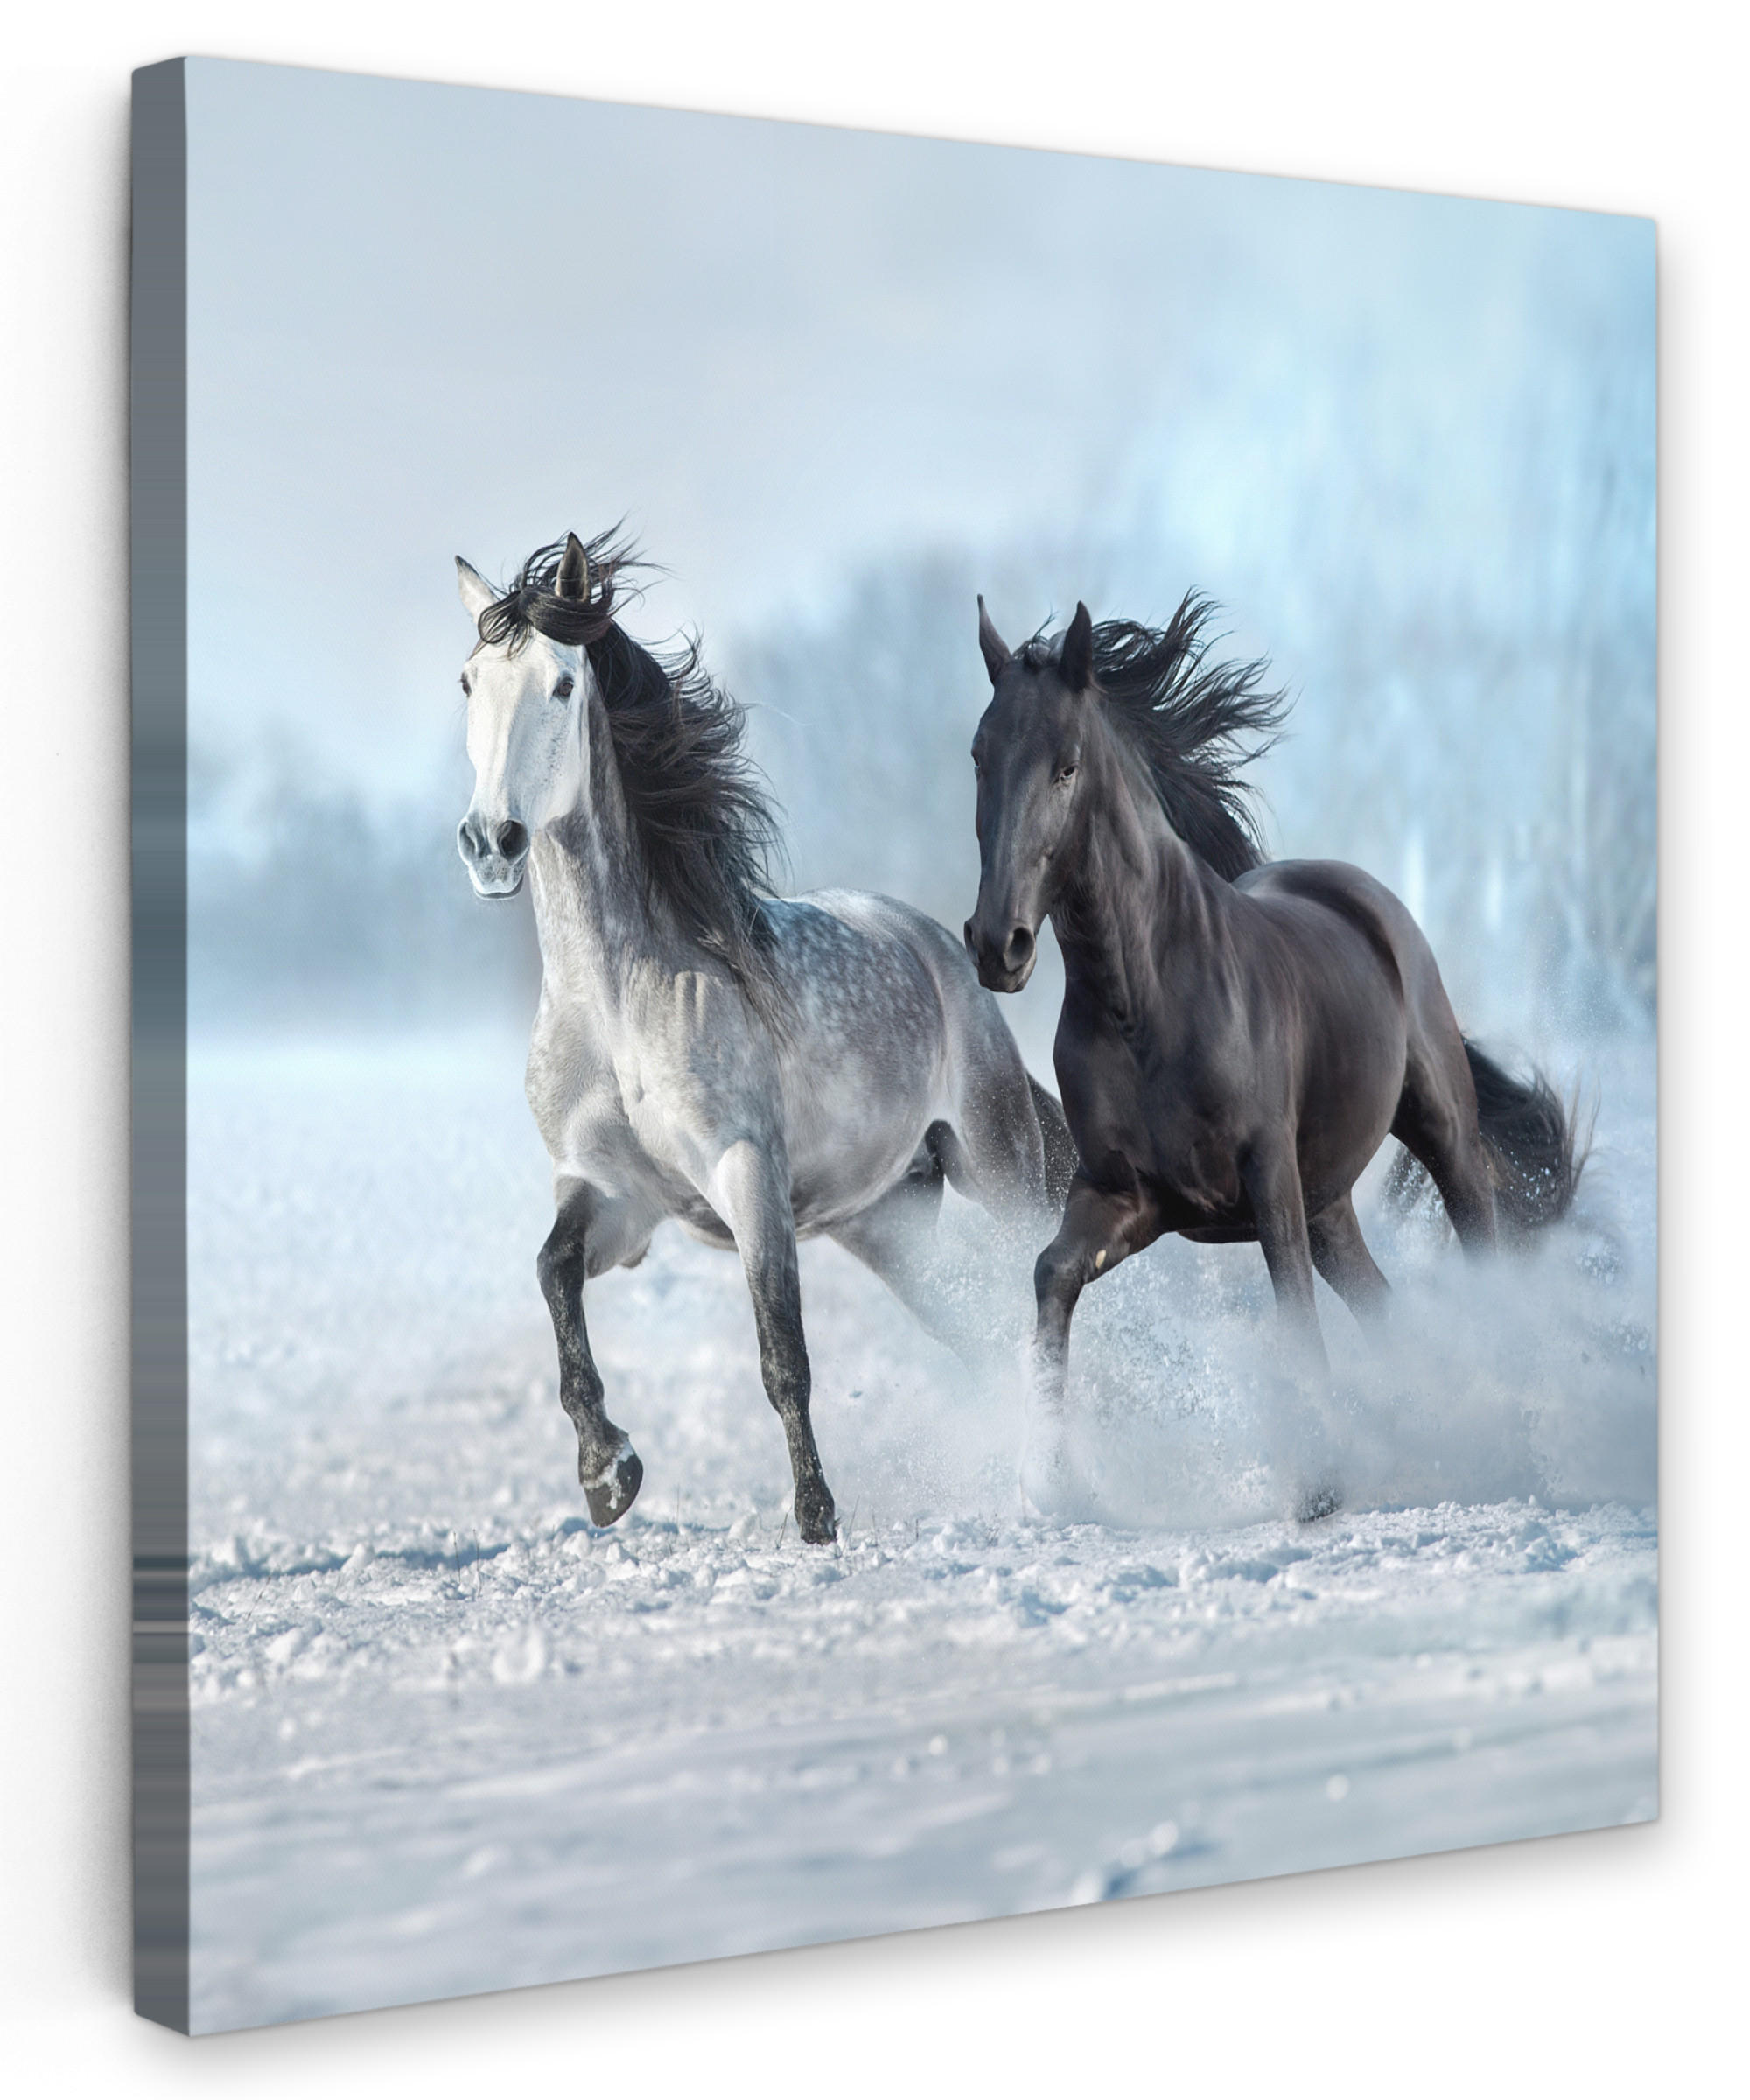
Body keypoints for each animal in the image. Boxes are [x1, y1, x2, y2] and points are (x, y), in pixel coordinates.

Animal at [453, 532, 1075, 1544]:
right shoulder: (613, 1194)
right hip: (886, 1222)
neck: (617, 1005)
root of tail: (939, 945)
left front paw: (816, 1518)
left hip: (998, 1165)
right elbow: (552, 1276)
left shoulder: (747, 1174)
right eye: (469, 681)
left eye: (562, 684)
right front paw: (607, 1473)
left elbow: (782, 1351)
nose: (490, 842)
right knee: (977, 1328)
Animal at [962, 592, 1585, 1516]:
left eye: (1066, 767)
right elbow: (1052, 1275)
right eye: (979, 757)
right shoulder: (1127, 1194)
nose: (996, 944)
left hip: (1439, 1135)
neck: (1146, 1003)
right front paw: (1050, 1479)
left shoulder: (1265, 1177)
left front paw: (1319, 1485)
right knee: (1383, 1306)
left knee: (1481, 1246)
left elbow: (1291, 1312)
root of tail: (1365, 898)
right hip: (1329, 1202)